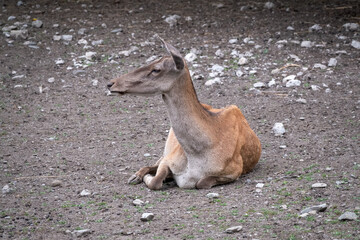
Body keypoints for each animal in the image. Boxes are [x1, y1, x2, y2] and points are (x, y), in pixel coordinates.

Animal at [107, 39, 262, 189]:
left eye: (156, 69)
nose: (111, 83)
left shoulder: (235, 170)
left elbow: (201, 183)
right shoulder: (169, 158)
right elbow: (155, 181)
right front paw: (148, 177)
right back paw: (135, 176)